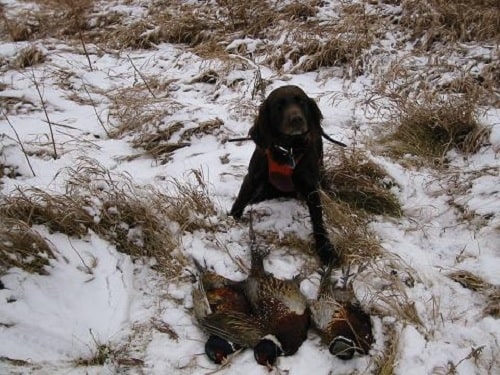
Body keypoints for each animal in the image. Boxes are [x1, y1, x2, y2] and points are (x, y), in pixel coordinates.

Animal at [230, 86, 340, 266]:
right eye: (279, 106)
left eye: (301, 101)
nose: (297, 119)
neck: (288, 150)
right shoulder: (252, 177)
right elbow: (240, 200)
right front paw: (230, 221)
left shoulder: (311, 186)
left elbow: (318, 221)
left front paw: (326, 251)